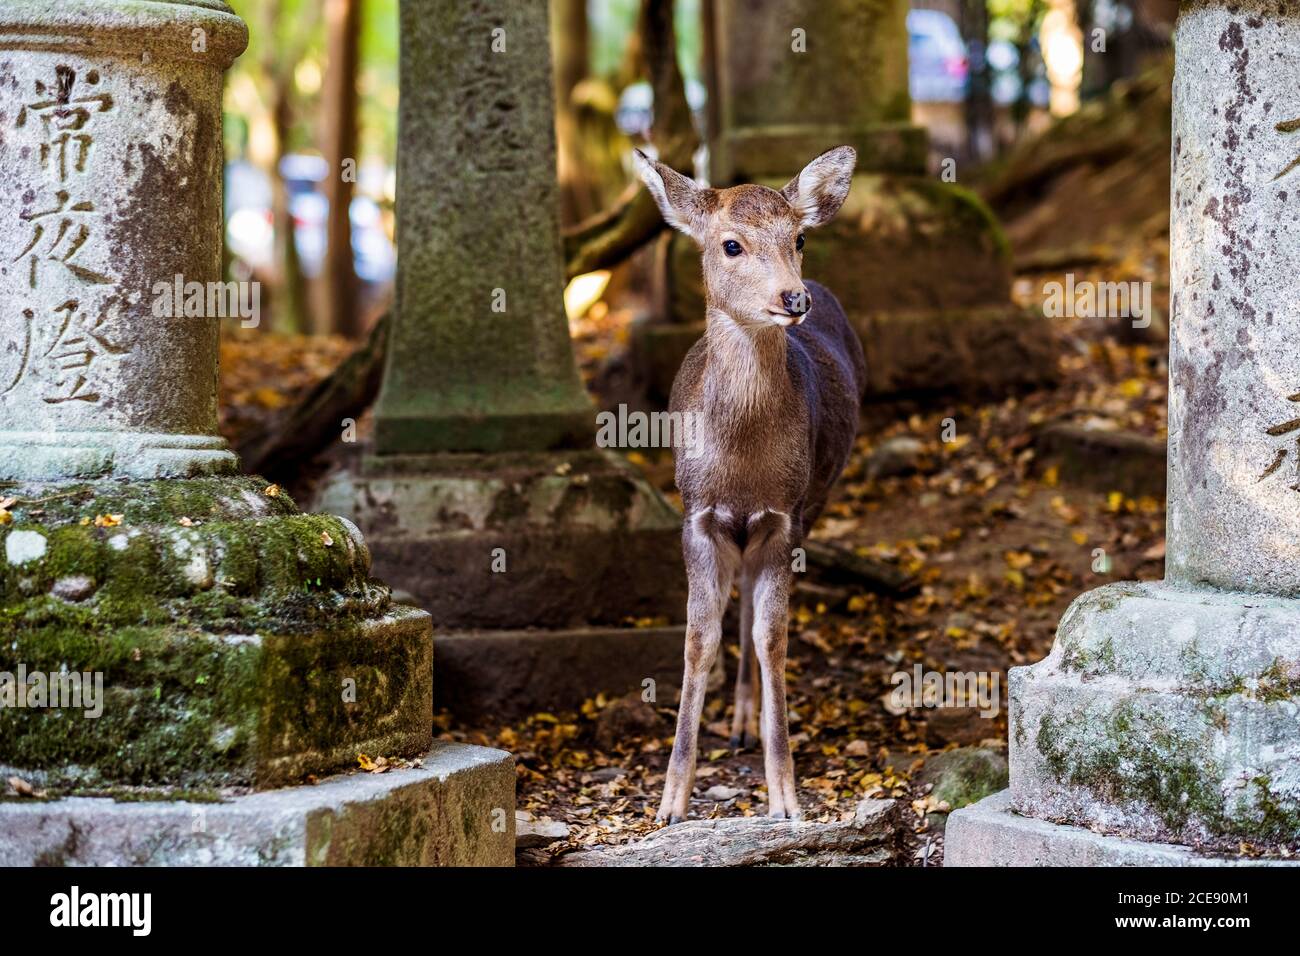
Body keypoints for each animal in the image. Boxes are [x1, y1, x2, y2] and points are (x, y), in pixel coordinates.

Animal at [634, 143, 868, 822]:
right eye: (731, 245)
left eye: (799, 239)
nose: (794, 298)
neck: (740, 463)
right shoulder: (696, 514)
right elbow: (697, 639)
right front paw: (670, 803)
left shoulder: (784, 515)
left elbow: (772, 638)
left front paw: (785, 795)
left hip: (815, 498)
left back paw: (749, 719)